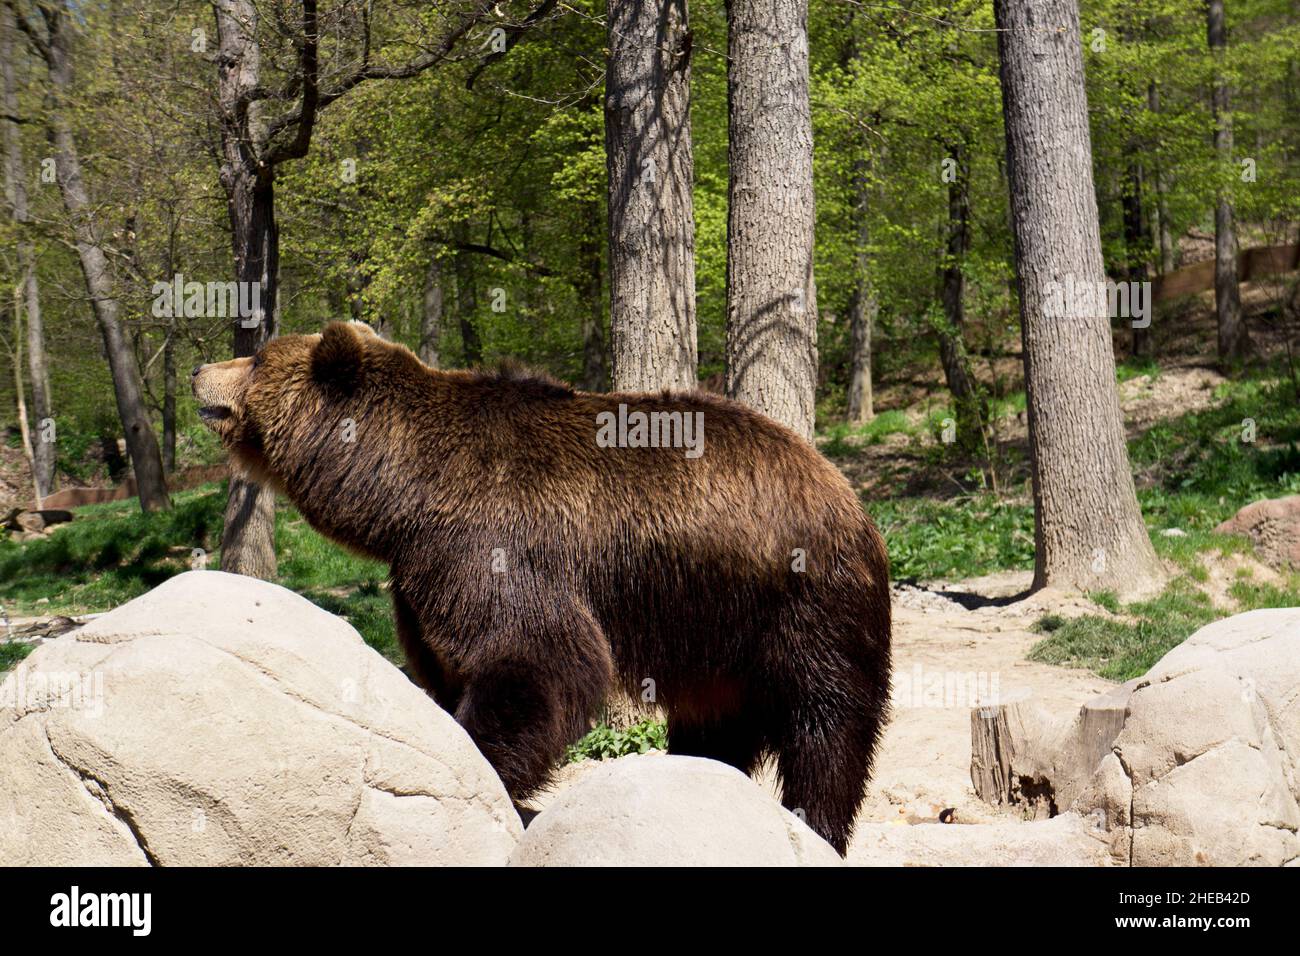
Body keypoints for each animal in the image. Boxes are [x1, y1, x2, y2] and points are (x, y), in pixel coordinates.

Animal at [193, 321, 891, 854]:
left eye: (257, 356)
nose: (200, 370)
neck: (406, 496)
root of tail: (842, 487)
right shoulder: (420, 579)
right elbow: (449, 665)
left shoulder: (493, 544)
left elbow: (535, 657)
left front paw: (485, 770)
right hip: (716, 628)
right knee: (718, 718)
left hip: (801, 601)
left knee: (826, 723)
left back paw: (816, 822)